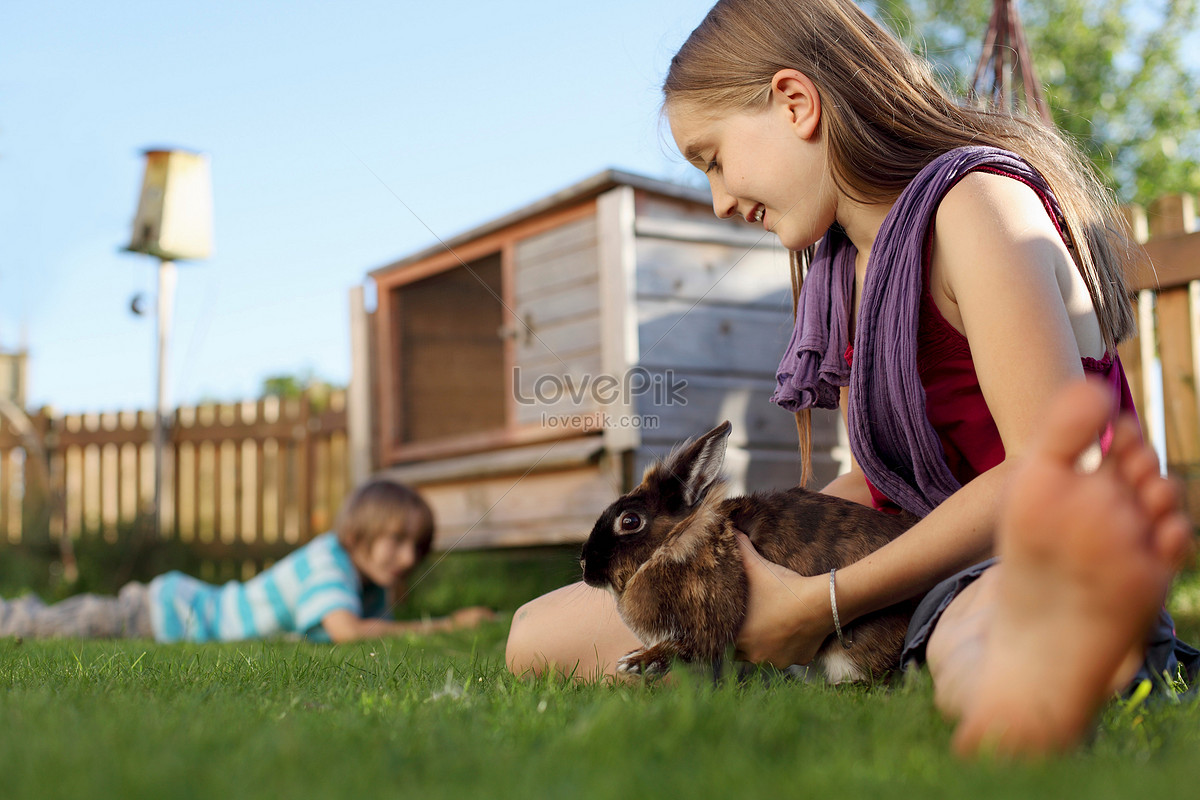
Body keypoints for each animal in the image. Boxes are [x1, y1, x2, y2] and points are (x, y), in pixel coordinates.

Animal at [580, 419, 916, 681]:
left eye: (630, 521)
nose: (584, 565)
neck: (675, 541)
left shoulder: (706, 621)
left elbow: (688, 648)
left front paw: (636, 662)